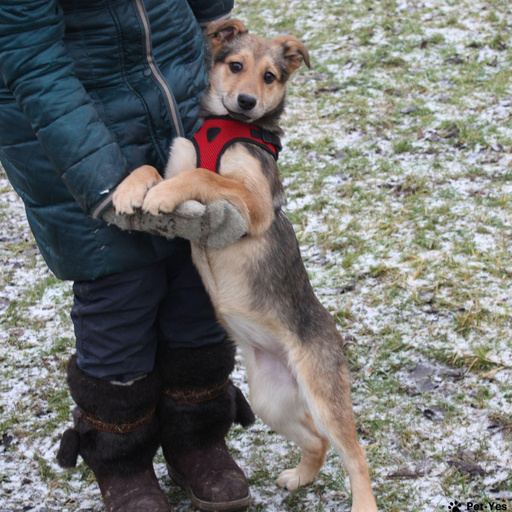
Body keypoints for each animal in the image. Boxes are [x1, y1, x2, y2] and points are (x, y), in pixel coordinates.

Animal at [113, 19, 378, 512]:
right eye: (235, 66)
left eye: (270, 76)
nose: (247, 102)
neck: (226, 126)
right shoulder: (178, 161)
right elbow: (156, 170)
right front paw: (129, 189)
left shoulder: (252, 203)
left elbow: (203, 175)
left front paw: (161, 196)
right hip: (270, 399)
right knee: (317, 442)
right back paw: (299, 477)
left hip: (322, 394)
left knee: (355, 454)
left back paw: (362, 502)